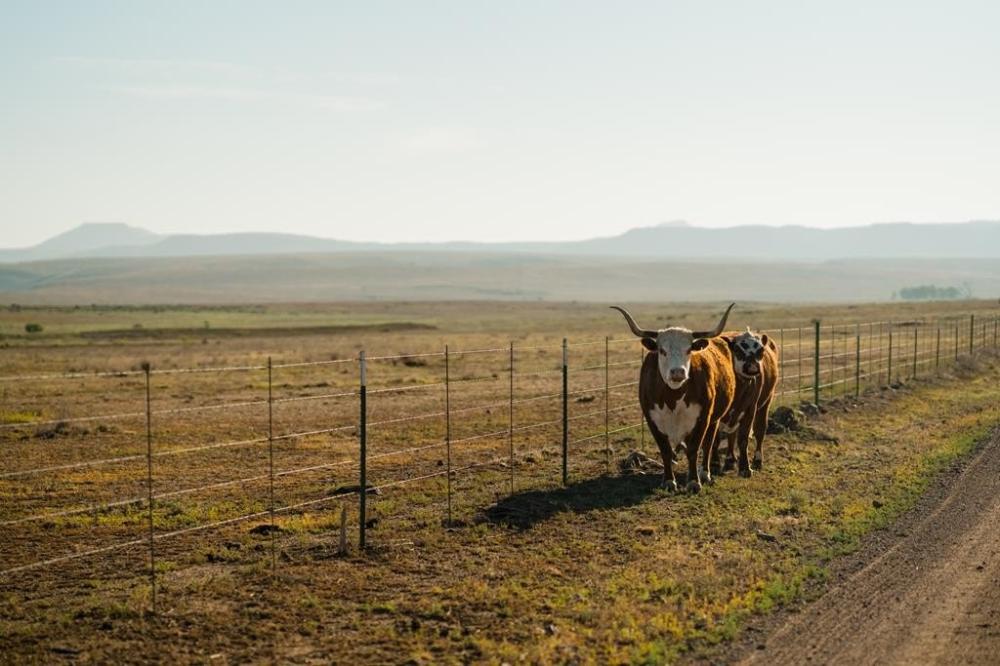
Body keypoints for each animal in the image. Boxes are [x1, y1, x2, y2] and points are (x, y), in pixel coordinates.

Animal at [604, 304, 740, 490]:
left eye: (689, 350)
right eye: (662, 351)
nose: (677, 372)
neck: (673, 398)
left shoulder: (702, 418)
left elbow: (694, 449)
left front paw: (693, 482)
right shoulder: (652, 419)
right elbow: (665, 450)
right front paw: (669, 481)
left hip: (714, 419)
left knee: (708, 444)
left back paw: (705, 473)